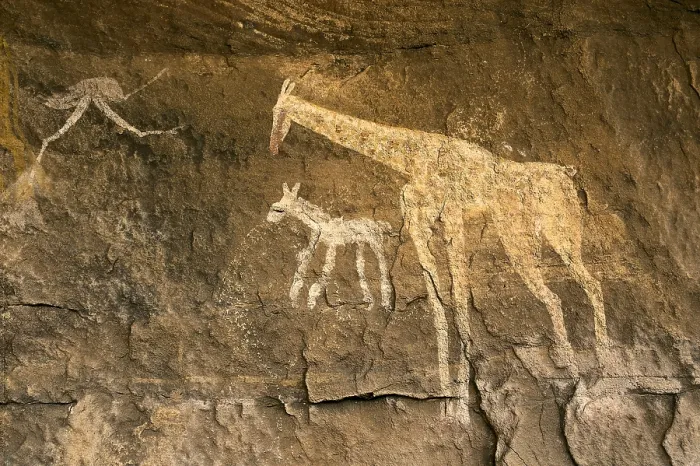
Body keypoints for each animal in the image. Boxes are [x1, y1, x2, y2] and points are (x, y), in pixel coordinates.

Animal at [269, 79, 609, 425]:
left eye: (277, 111)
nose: (272, 147)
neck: (413, 156)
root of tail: (567, 172)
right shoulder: (420, 221)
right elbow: (436, 302)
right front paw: (447, 403)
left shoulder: (451, 214)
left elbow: (458, 298)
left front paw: (460, 409)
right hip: (555, 235)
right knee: (588, 283)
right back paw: (599, 367)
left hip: (524, 234)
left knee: (559, 293)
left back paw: (580, 373)